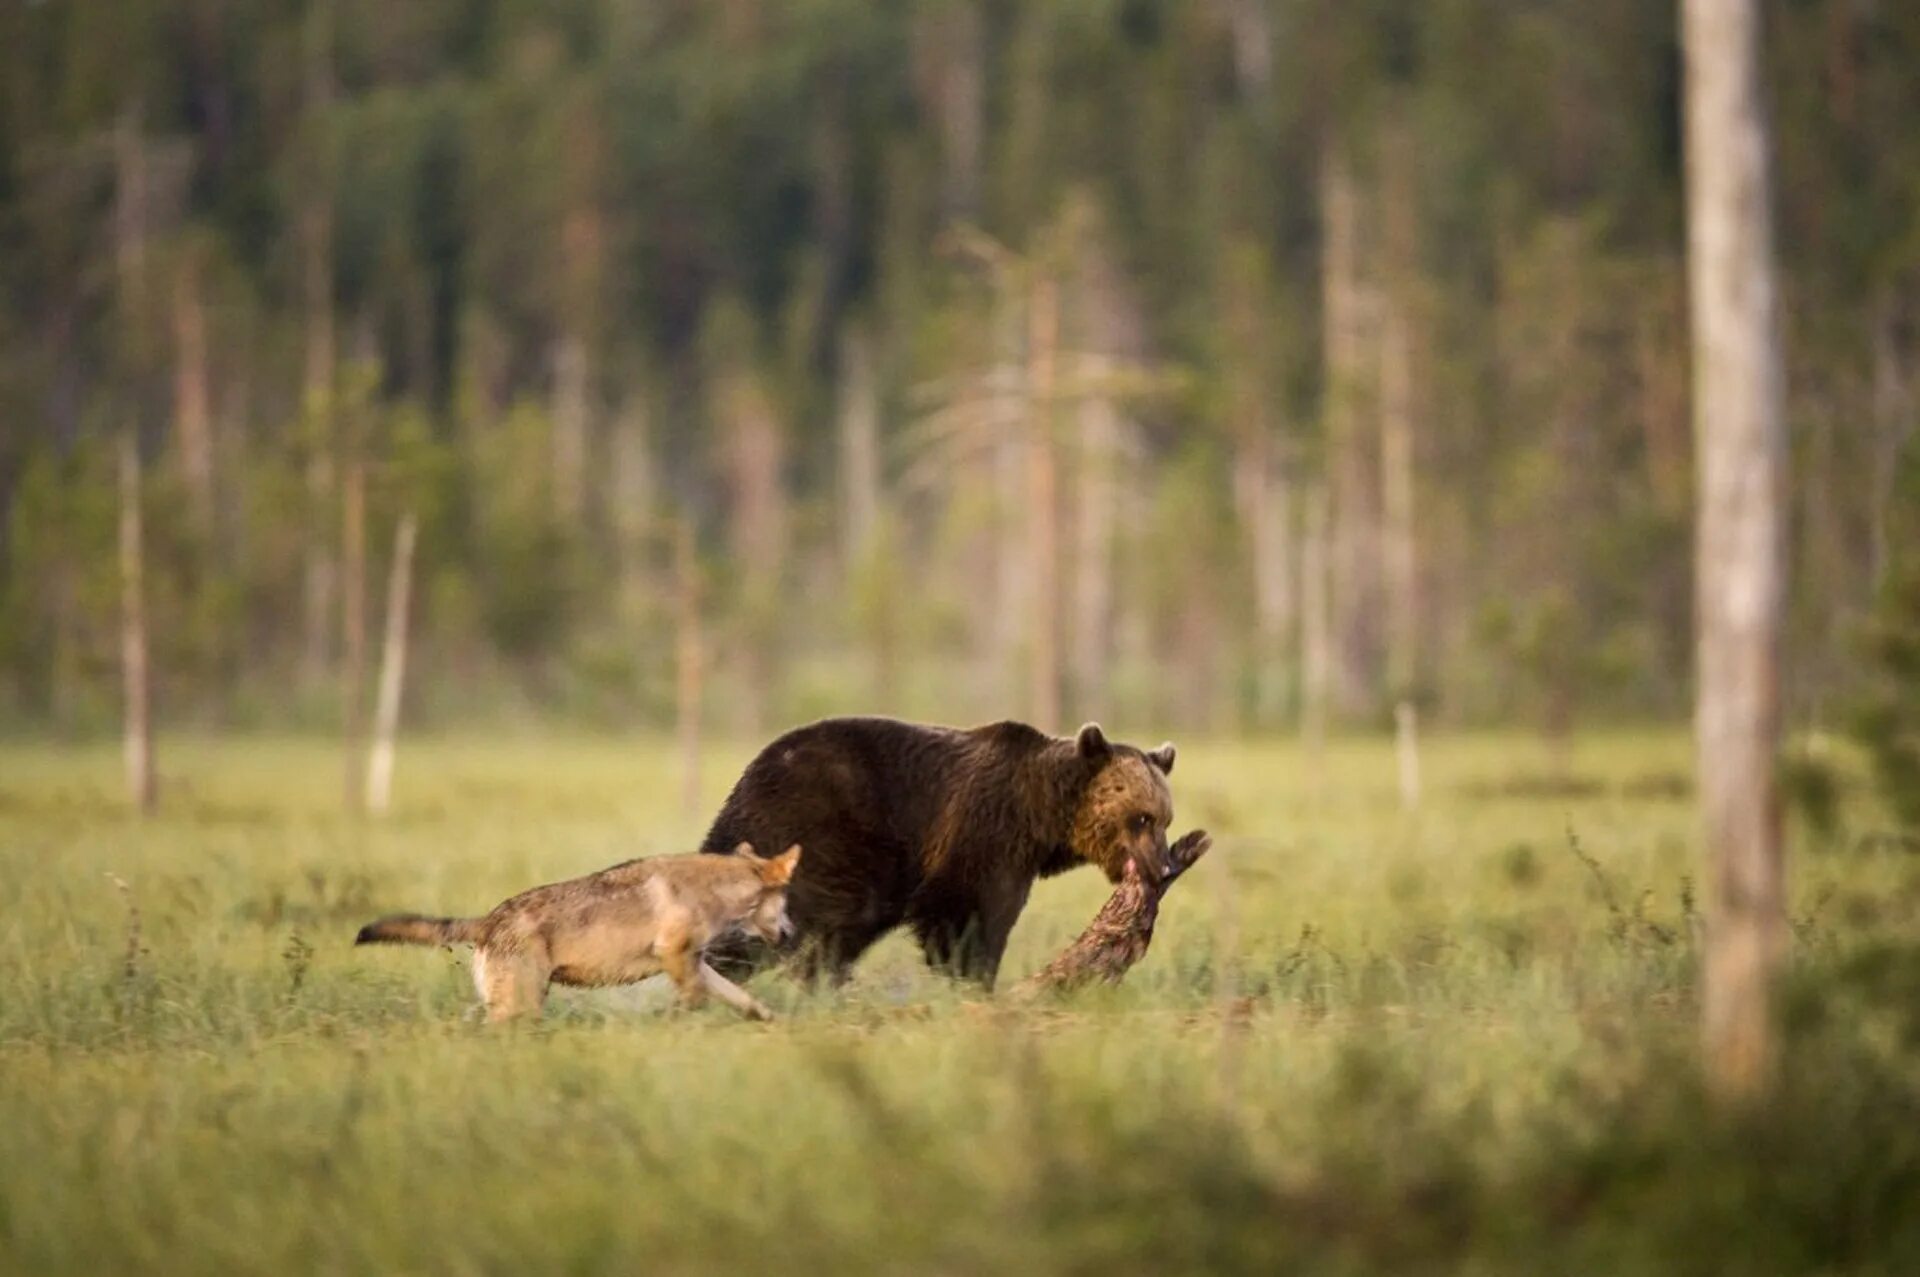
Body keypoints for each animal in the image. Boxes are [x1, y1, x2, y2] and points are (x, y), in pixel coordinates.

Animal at [702, 718, 1167, 983]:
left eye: (1165, 818)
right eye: (1142, 818)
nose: (1161, 867)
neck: (1041, 812)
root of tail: (748, 777)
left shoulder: (1015, 852)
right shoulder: (982, 827)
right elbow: (964, 909)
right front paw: (972, 973)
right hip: (827, 822)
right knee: (826, 913)